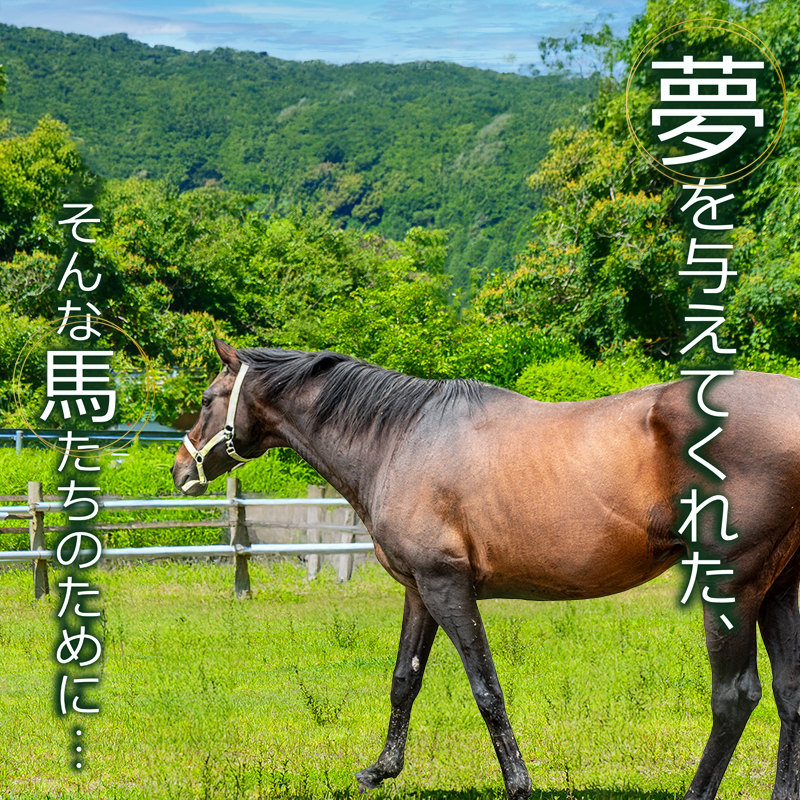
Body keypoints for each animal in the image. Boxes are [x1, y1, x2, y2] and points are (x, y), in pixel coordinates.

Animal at [171, 338, 800, 800]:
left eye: (205, 398)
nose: (180, 470)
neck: (400, 439)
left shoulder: (447, 587)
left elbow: (486, 688)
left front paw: (518, 783)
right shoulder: (420, 591)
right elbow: (404, 680)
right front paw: (381, 769)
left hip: (731, 585)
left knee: (734, 697)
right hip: (777, 590)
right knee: (788, 692)